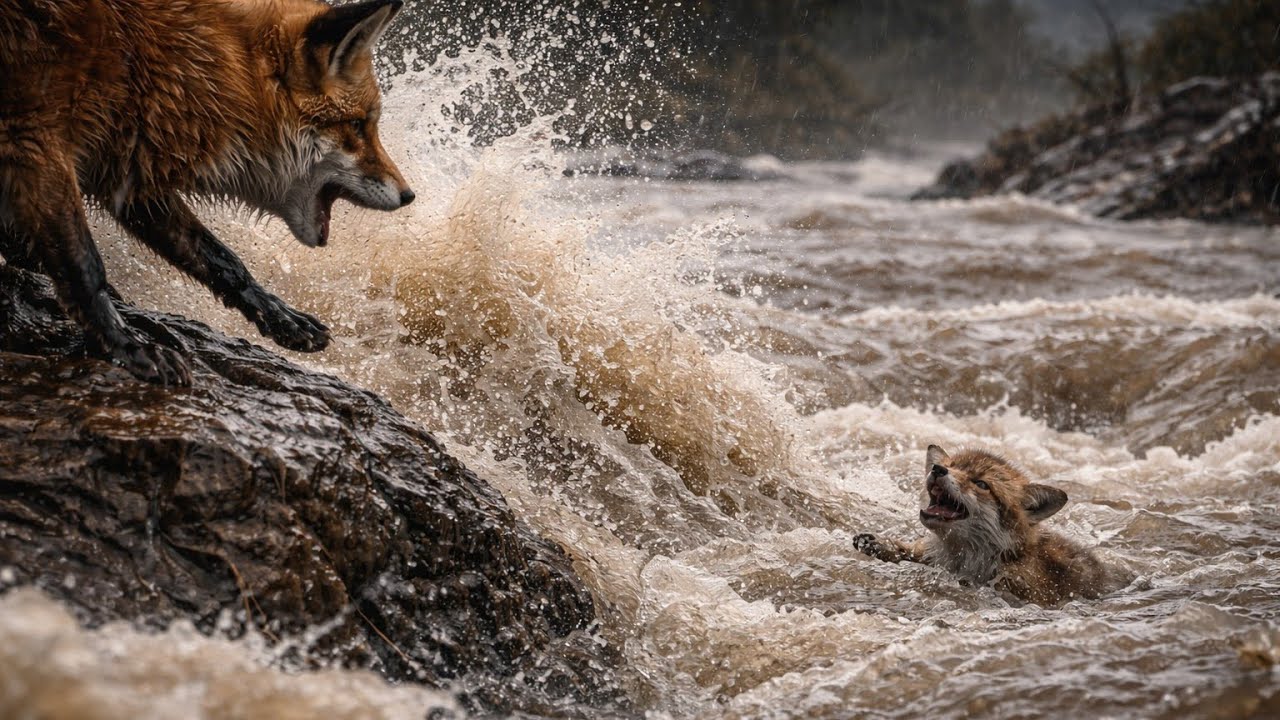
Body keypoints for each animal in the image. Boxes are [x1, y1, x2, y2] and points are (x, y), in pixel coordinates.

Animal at [0, 0, 415, 385]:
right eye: (358, 126)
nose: (409, 195)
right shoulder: (35, 140)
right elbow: (85, 267)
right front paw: (125, 346)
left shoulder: (125, 164)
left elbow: (221, 259)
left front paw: (279, 317)